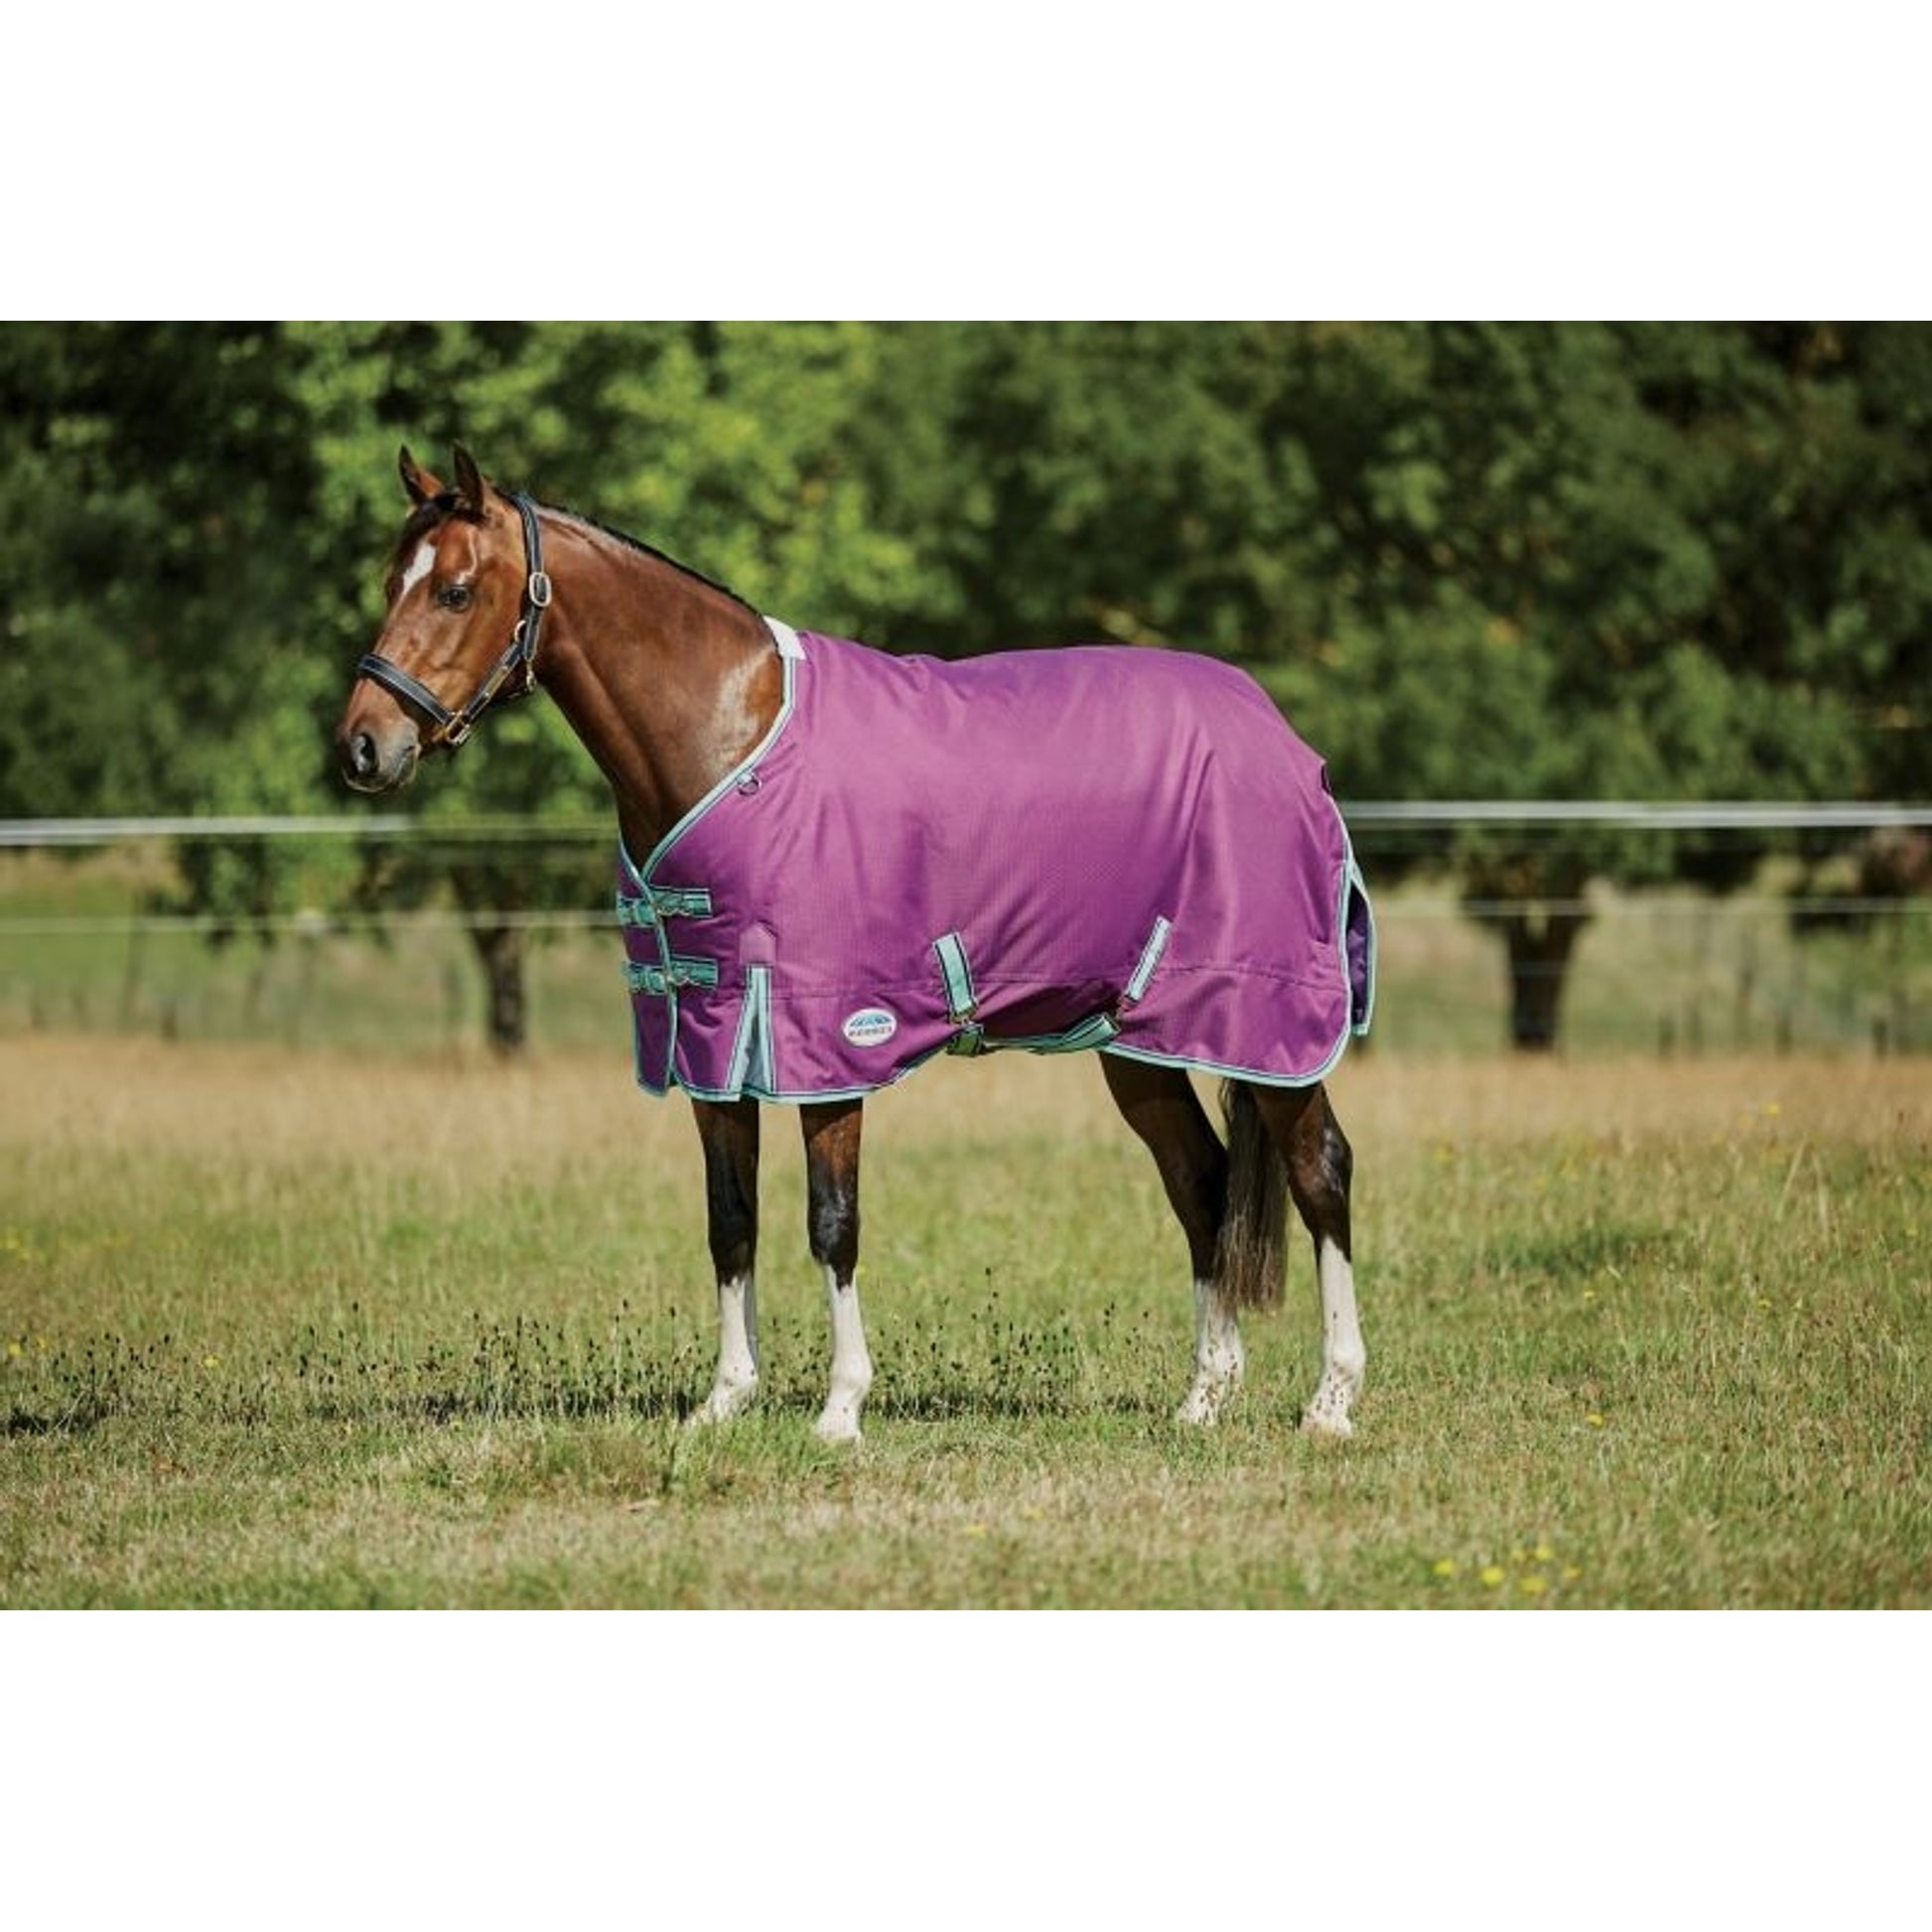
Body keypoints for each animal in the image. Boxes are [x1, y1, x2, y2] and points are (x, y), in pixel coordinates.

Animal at [336, 445, 1375, 1444]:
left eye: (455, 590)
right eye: (390, 580)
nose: (363, 746)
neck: (727, 737)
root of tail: (1282, 738)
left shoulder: (824, 1039)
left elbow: (832, 1223)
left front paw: (840, 1409)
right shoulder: (716, 1036)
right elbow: (731, 1220)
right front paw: (725, 1400)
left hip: (1269, 1023)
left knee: (1320, 1170)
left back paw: (1330, 1401)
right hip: (1139, 1040)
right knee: (1202, 1183)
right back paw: (1204, 1397)